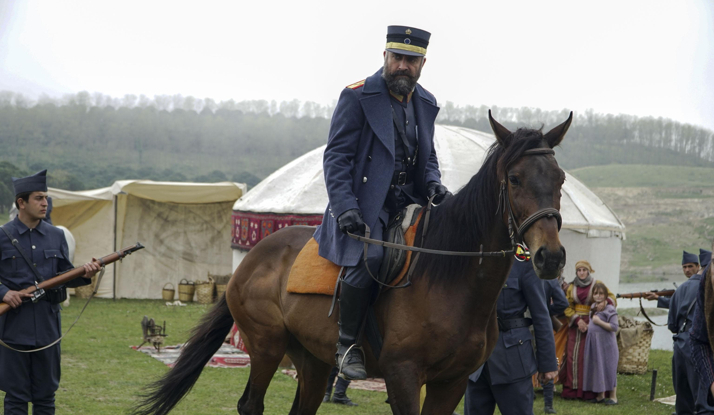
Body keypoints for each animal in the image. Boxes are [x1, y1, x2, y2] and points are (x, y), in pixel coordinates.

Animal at [131, 111, 572, 415]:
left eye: (561, 179)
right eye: (514, 179)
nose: (550, 257)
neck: (451, 281)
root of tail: (253, 257)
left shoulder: (453, 382)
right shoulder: (403, 376)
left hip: (311, 360)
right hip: (266, 346)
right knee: (250, 405)